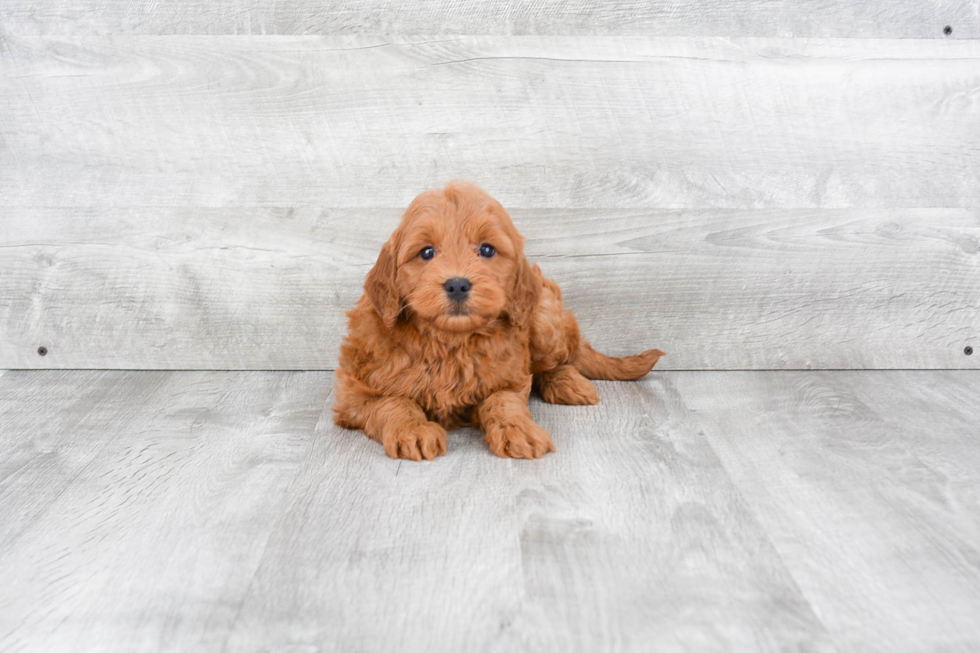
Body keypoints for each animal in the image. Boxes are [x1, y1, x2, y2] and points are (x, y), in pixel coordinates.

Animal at [332, 181, 668, 460]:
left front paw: (518, 430)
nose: (457, 284)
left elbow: (504, 402)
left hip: (544, 319)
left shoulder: (510, 378)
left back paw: (568, 383)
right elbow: (393, 402)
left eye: (486, 249)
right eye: (426, 252)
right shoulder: (353, 393)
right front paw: (412, 430)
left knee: (560, 360)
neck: (450, 342)